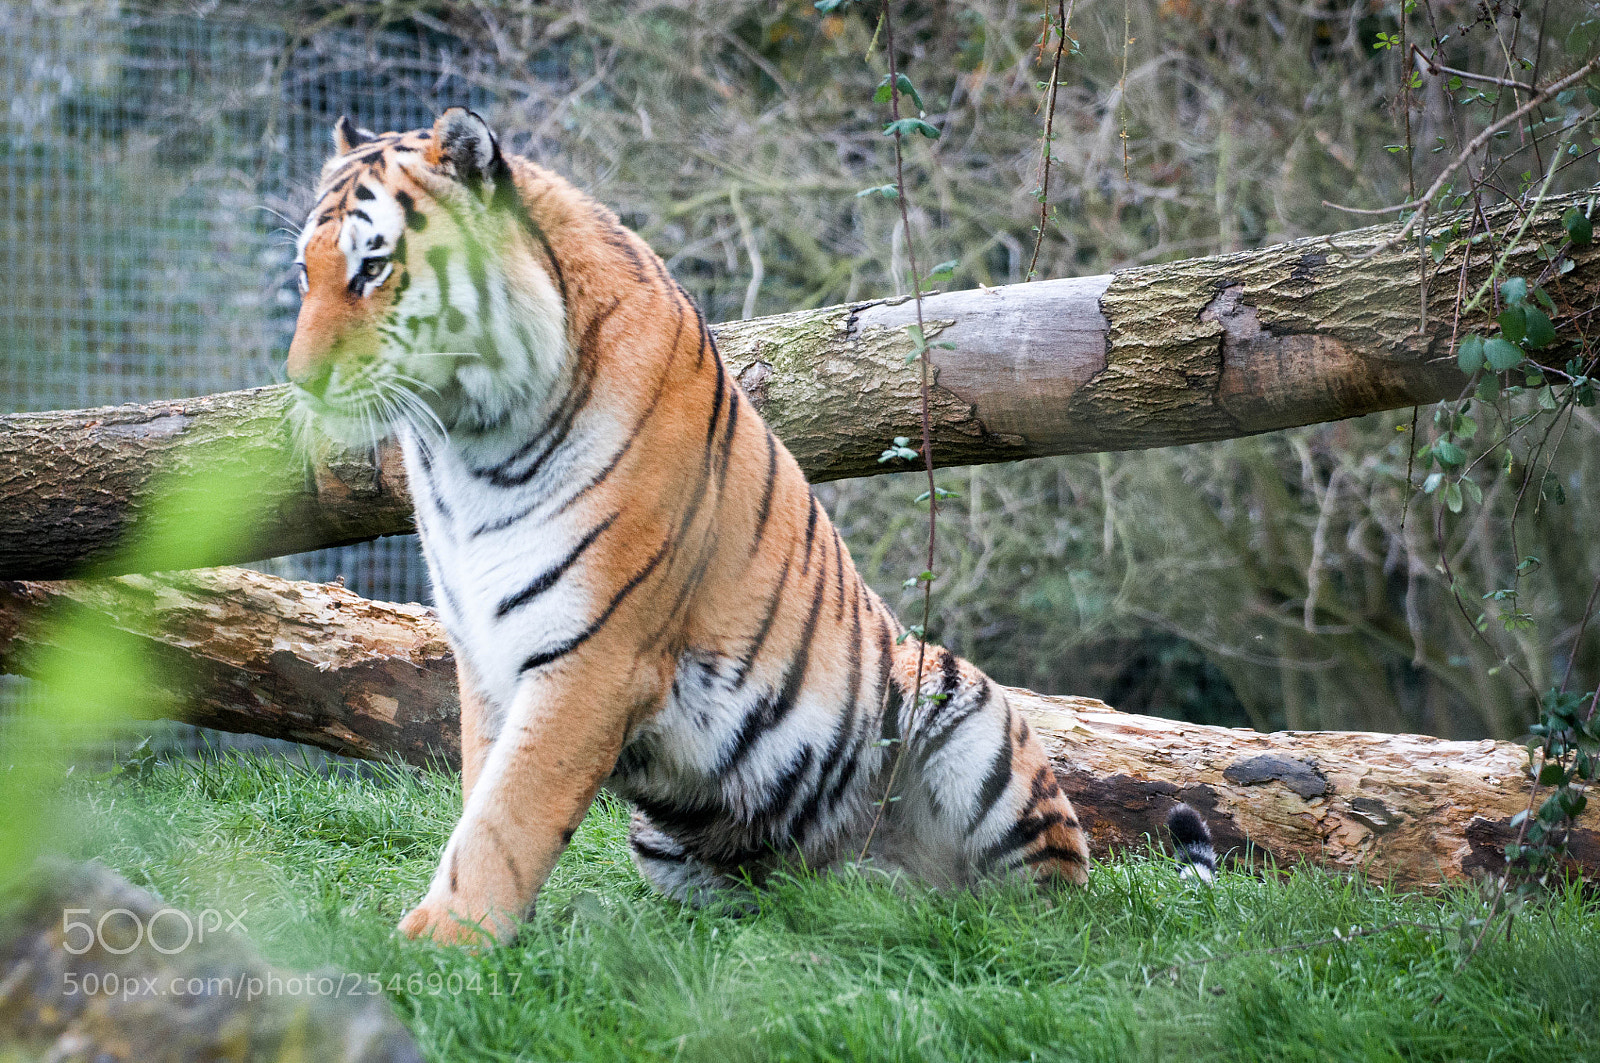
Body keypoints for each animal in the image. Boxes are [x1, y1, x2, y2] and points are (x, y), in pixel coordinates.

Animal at [286, 108, 1092, 946]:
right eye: (306, 273)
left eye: (374, 268)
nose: (299, 381)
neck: (463, 448)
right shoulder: (482, 650)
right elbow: (486, 792)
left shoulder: (597, 655)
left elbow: (508, 814)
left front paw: (445, 941)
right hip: (674, 842)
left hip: (953, 695)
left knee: (1032, 909)